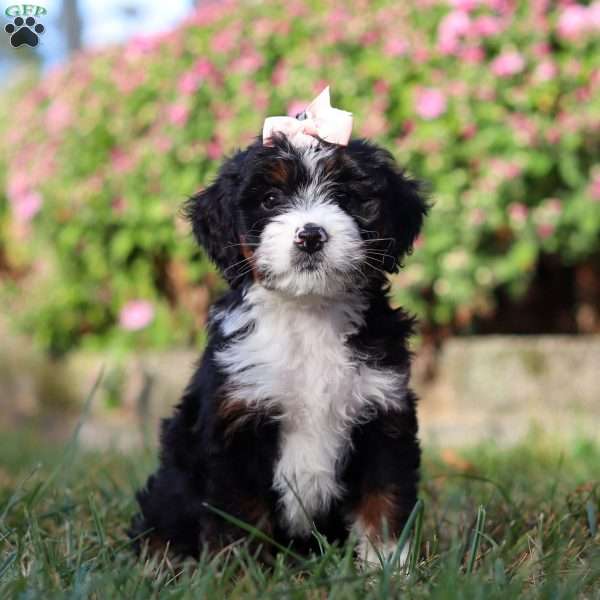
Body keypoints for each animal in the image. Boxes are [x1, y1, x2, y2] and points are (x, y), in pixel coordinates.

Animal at [132, 129, 426, 564]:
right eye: (271, 199)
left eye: (345, 196)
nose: (311, 236)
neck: (307, 313)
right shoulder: (236, 427)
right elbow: (239, 516)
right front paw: (239, 571)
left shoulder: (383, 417)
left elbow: (383, 502)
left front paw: (389, 567)